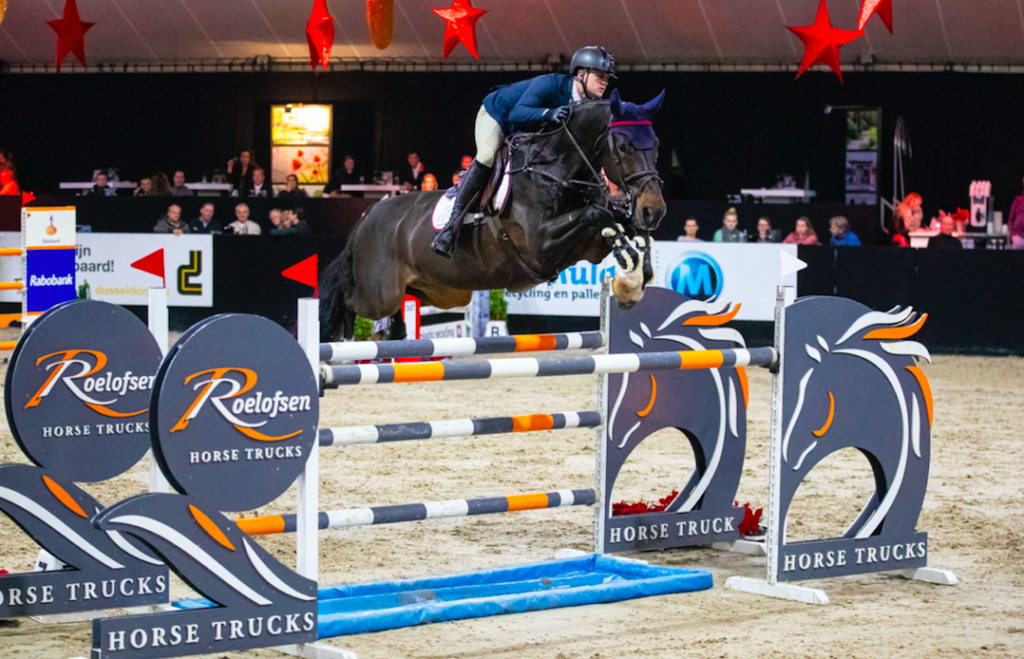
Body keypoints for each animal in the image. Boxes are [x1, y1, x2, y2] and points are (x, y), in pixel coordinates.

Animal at [319, 89, 668, 342]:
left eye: (656, 144)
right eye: (623, 146)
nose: (654, 210)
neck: (555, 169)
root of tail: (366, 216)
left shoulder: (585, 248)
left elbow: (614, 224)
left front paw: (633, 278)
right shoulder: (540, 245)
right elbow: (599, 214)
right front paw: (629, 269)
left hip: (437, 292)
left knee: (395, 324)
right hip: (379, 294)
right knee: (346, 304)